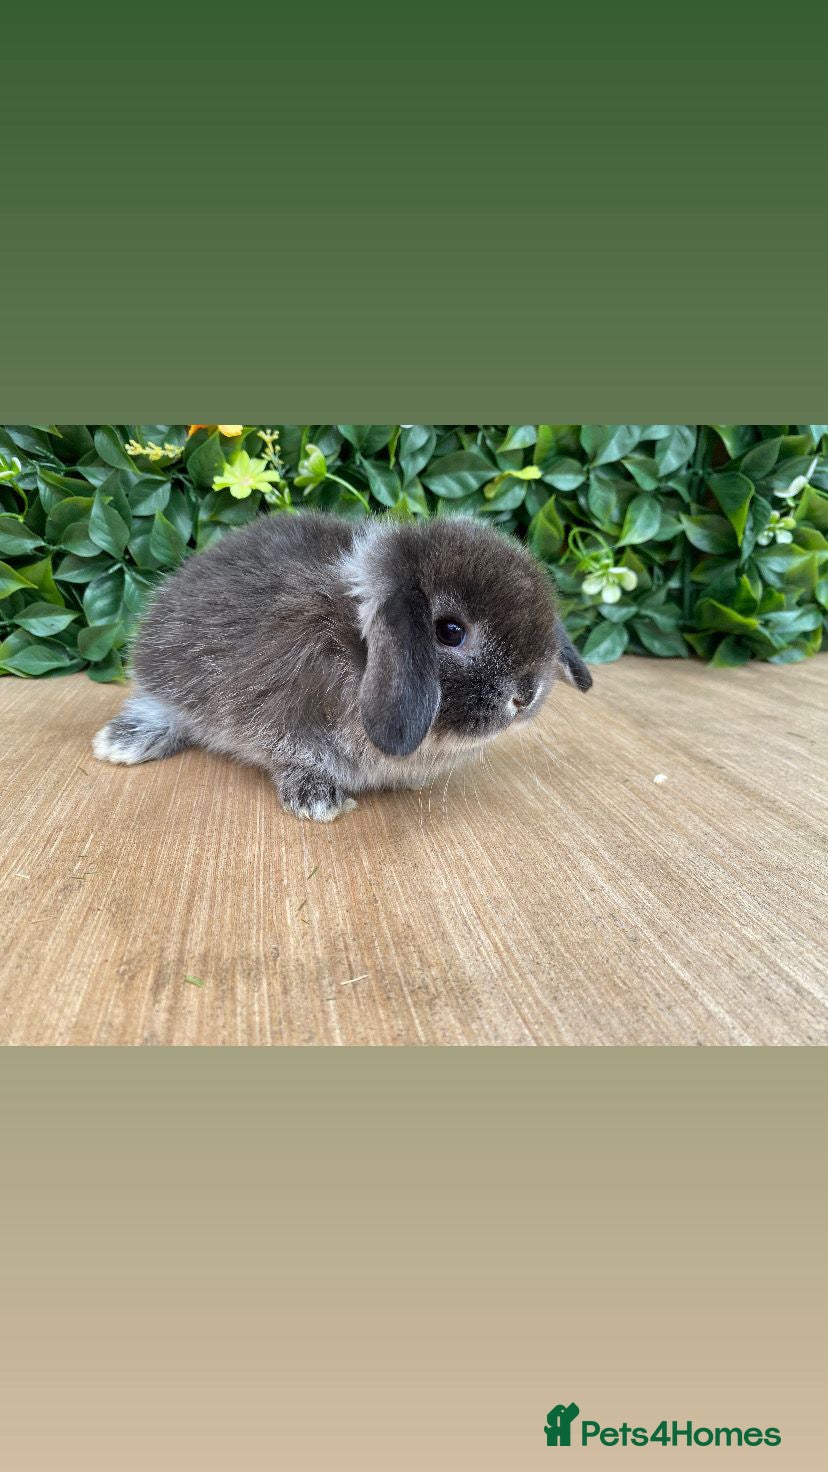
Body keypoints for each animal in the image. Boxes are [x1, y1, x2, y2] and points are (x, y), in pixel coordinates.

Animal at [92, 511, 592, 821]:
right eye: (450, 631)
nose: (525, 695)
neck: (354, 647)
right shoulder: (282, 713)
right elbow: (293, 753)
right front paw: (317, 802)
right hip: (169, 671)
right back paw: (121, 744)